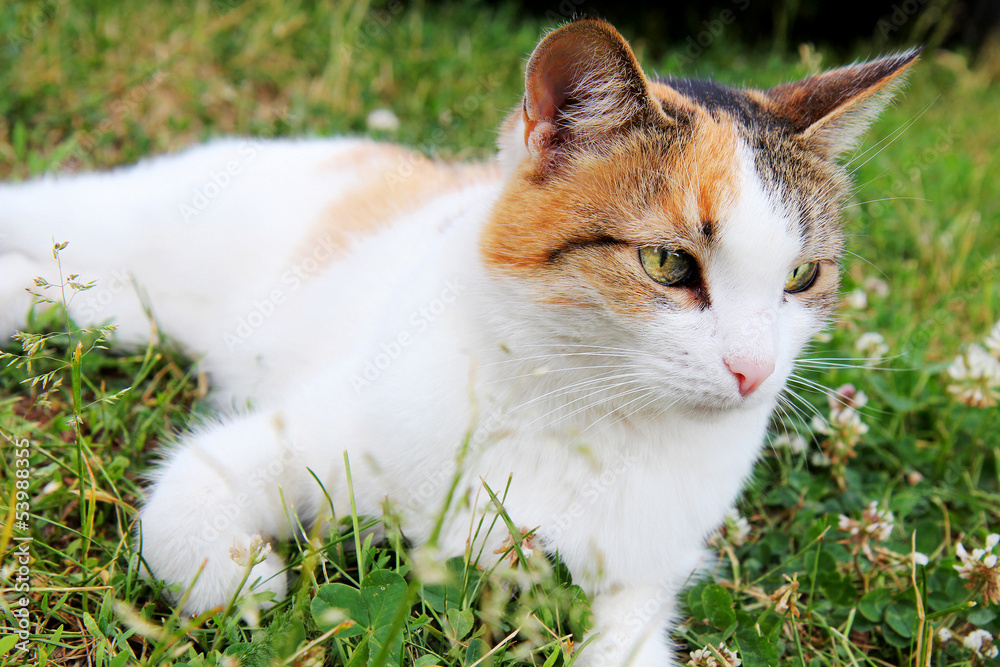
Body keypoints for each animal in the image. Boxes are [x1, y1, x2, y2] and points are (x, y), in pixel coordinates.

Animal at [0, 20, 916, 667]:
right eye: (668, 263)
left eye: (801, 275)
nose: (754, 372)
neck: (579, 415)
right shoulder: (296, 438)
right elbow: (183, 502)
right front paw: (246, 578)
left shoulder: (640, 575)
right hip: (131, 220)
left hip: (140, 306)